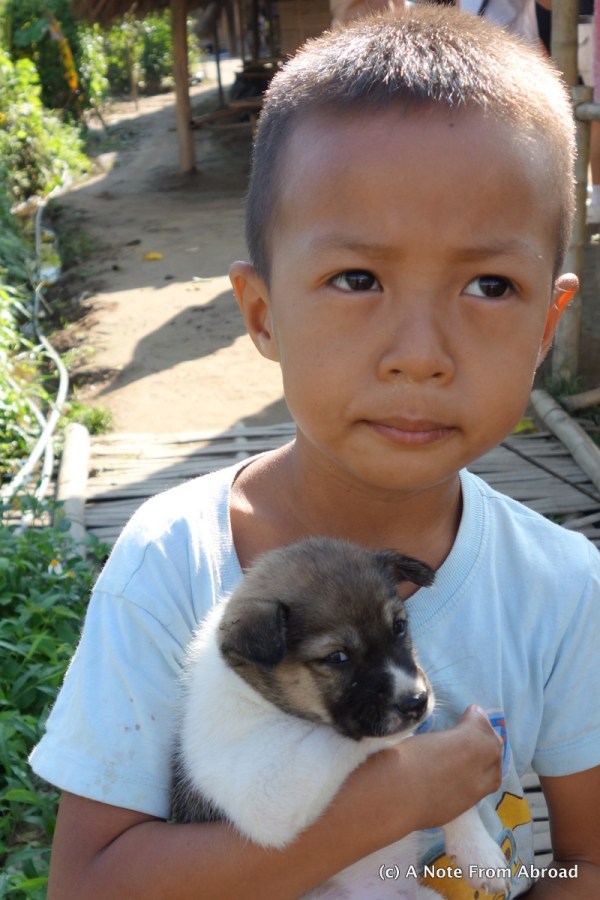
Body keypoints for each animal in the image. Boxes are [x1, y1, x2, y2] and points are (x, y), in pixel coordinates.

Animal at [170, 537, 510, 898]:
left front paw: (480, 852)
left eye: (399, 627)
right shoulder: (265, 789)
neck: (258, 695)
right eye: (337, 657)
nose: (417, 702)